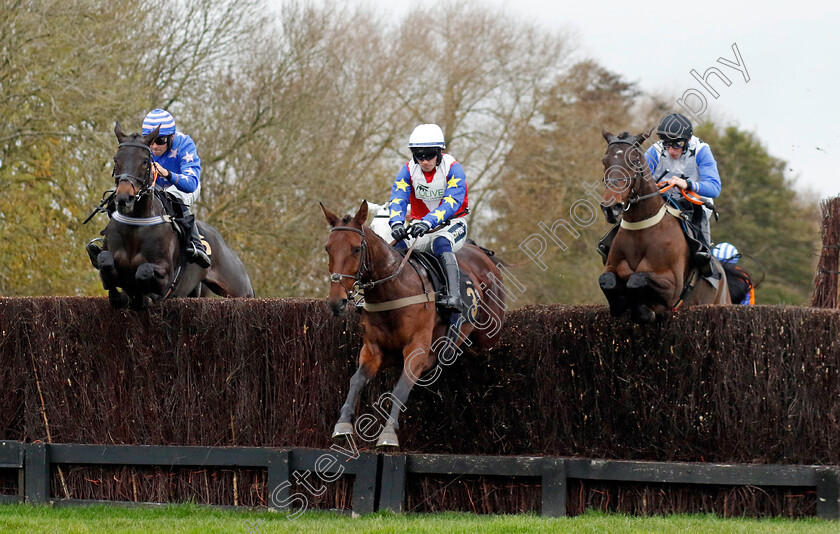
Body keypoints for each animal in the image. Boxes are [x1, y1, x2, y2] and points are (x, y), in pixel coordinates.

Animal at [94, 122, 254, 310]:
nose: (124, 198)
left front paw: (141, 298)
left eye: (145, 161)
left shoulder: (166, 277)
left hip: (240, 289)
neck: (136, 227)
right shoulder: (109, 258)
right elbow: (104, 262)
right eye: (116, 160)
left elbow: (144, 272)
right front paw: (120, 297)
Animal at [320, 200, 506, 448]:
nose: (336, 301)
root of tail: (481, 253)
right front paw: (342, 425)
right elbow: (356, 380)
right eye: (328, 248)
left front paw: (388, 433)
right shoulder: (373, 349)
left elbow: (400, 387)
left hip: (489, 334)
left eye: (356, 248)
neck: (392, 290)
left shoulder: (417, 349)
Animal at [596, 131, 728, 322]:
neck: (641, 230)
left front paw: (644, 310)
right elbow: (607, 280)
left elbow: (637, 279)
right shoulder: (612, 268)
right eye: (604, 161)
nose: (611, 208)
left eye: (633, 161)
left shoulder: (672, 285)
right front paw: (620, 303)